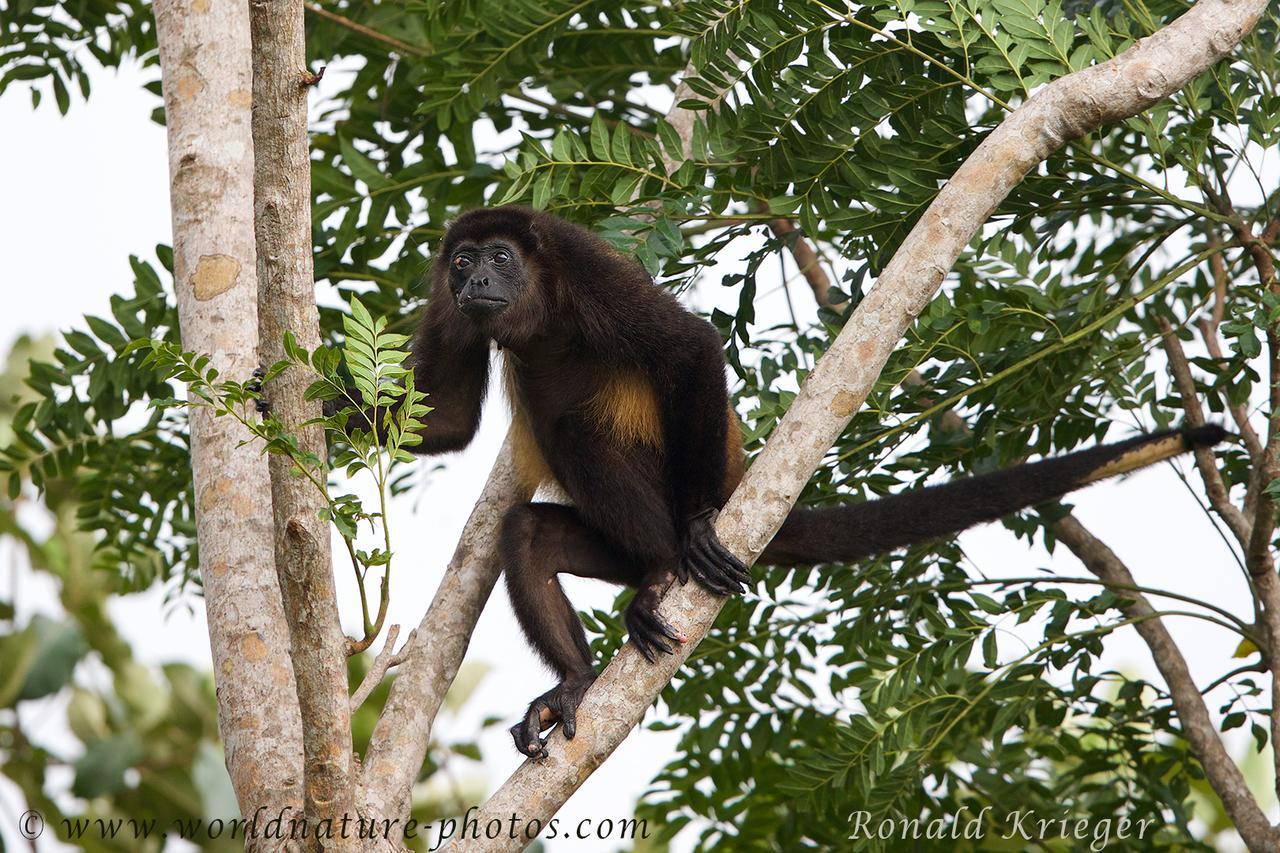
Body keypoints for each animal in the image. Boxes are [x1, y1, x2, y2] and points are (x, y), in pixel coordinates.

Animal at [394, 206, 1223, 758]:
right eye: (461, 262)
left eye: (501, 256)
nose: (477, 277)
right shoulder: (448, 307)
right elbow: (447, 422)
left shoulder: (581, 266)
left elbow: (689, 344)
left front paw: (696, 529)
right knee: (530, 534)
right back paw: (575, 677)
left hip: (672, 482)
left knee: (584, 436)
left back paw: (666, 564)